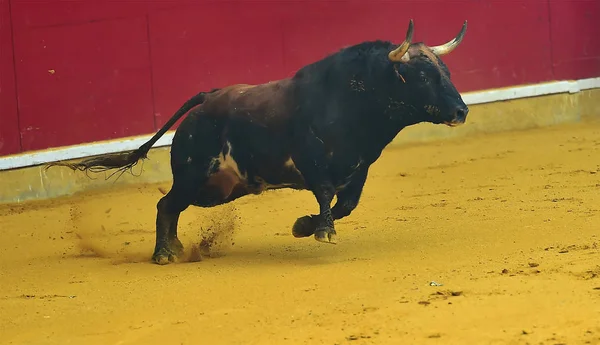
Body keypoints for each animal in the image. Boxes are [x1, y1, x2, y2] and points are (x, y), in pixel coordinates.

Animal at [47, 20, 468, 264]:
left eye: (446, 71)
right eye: (423, 76)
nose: (462, 111)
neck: (355, 99)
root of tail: (207, 98)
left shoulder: (359, 167)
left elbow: (345, 204)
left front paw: (304, 225)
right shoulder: (313, 160)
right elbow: (326, 195)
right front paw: (322, 230)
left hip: (215, 189)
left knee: (172, 206)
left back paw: (176, 249)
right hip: (193, 175)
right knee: (165, 205)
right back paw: (164, 255)